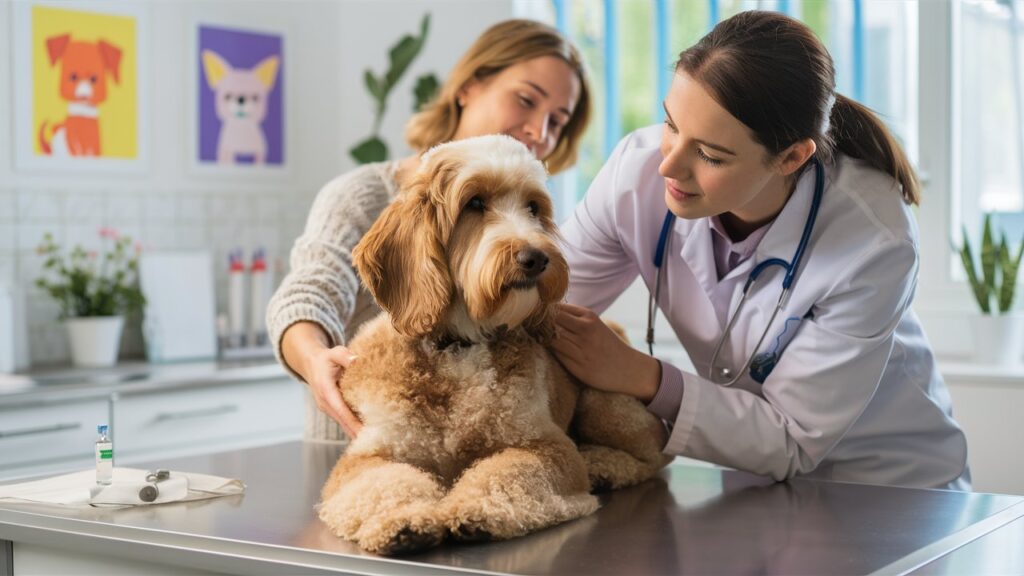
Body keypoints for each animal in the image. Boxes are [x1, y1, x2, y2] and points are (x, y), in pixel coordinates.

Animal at [321, 133, 671, 553]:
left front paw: (475, 509)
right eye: (474, 202)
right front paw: (404, 519)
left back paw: (602, 466)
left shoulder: (543, 445)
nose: (536, 257)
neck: (460, 345)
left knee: (654, 458)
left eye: (533, 207)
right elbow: (383, 483)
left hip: (607, 404)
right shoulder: (372, 454)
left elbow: (507, 472)